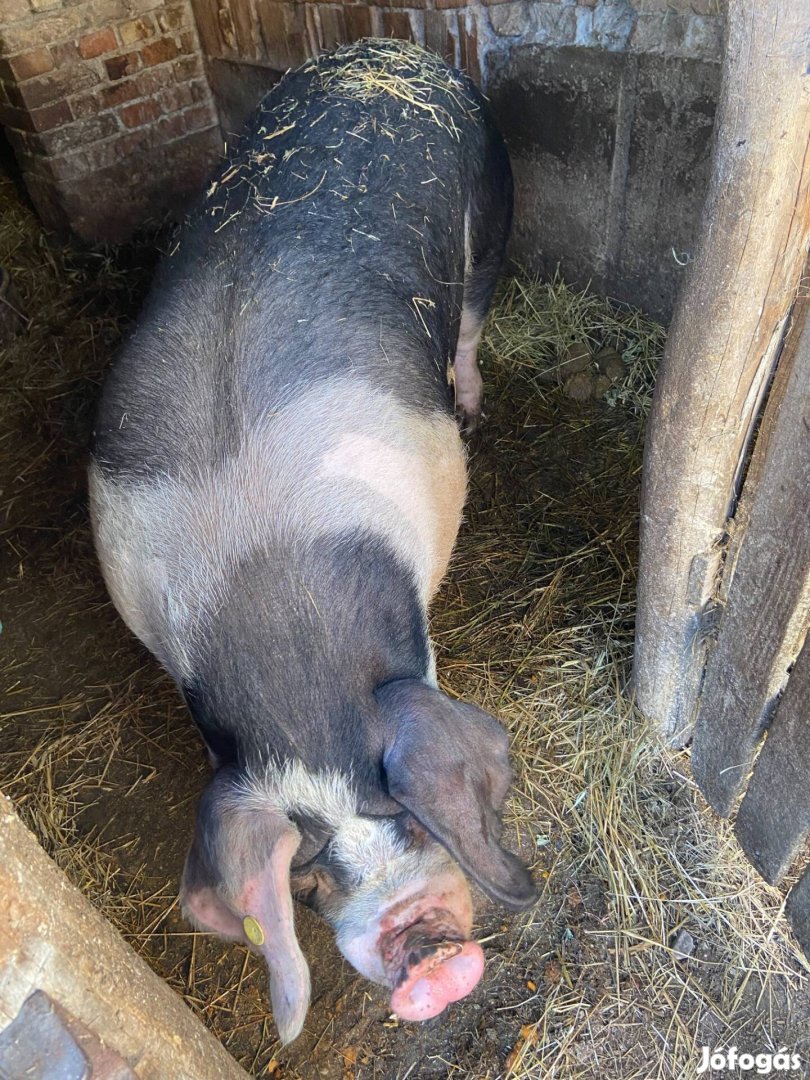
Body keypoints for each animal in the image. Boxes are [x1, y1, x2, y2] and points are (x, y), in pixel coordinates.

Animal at [88, 38, 535, 1041]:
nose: (428, 962)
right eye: (305, 877)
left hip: (492, 217)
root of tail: (389, 51)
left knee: (472, 323)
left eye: (413, 820)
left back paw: (477, 404)